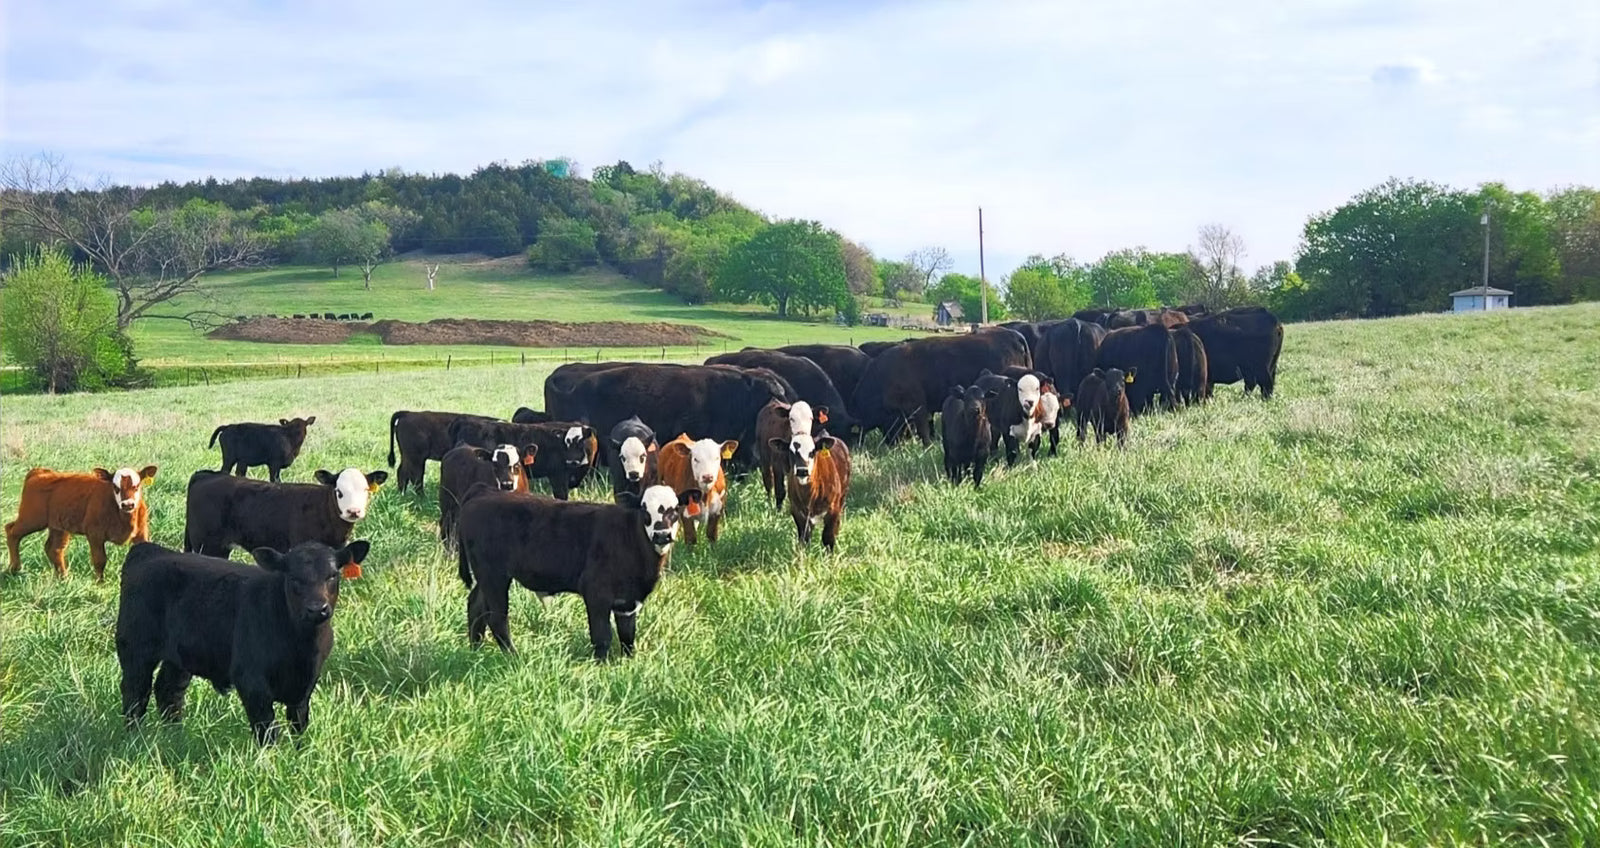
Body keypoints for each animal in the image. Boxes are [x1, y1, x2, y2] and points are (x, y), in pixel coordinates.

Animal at [6, 465, 157, 581]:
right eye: (115, 487)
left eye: (137, 486)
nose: (128, 504)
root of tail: (40, 471)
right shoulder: (95, 534)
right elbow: (99, 560)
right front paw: (99, 584)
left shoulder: (141, 534)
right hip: (31, 519)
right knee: (11, 531)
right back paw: (14, 568)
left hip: (59, 526)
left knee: (54, 549)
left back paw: (64, 578)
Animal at [115, 539, 368, 745]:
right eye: (293, 578)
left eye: (333, 575)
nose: (316, 609)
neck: (301, 647)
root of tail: (150, 551)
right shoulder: (251, 681)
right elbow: (266, 728)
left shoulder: (306, 683)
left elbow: (299, 723)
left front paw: (299, 753)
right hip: (135, 650)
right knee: (135, 693)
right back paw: (134, 738)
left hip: (180, 657)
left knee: (168, 691)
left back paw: (175, 736)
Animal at [455, 484, 701, 659]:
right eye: (644, 508)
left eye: (675, 508)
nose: (662, 535)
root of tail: (483, 492)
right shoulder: (596, 593)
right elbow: (602, 636)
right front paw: (601, 666)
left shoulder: (628, 601)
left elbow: (627, 636)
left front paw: (628, 664)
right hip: (494, 575)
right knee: (497, 618)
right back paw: (514, 657)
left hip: (486, 577)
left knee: (475, 606)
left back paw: (475, 650)